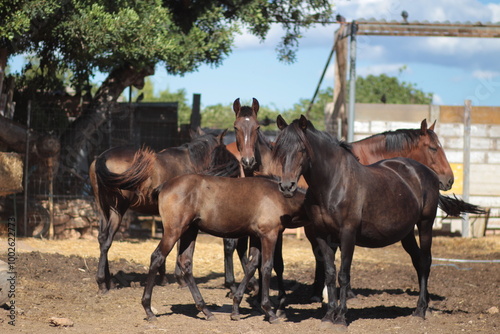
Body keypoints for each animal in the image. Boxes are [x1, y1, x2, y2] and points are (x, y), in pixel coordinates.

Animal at [89, 129, 239, 294]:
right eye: (224, 148)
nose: (237, 165)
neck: (191, 162)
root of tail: (103, 157)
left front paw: (162, 278)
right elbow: (179, 246)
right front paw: (180, 279)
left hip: (103, 209)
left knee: (102, 238)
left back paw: (108, 281)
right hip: (118, 210)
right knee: (107, 240)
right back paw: (102, 283)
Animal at [139, 175, 306, 324]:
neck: (280, 198)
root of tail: (164, 185)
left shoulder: (257, 237)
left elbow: (251, 266)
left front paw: (236, 308)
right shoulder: (269, 235)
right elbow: (267, 267)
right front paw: (270, 312)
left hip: (190, 231)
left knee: (185, 262)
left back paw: (206, 310)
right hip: (174, 231)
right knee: (157, 257)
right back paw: (148, 310)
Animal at [274, 115, 484, 328]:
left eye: (302, 149)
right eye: (279, 148)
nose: (287, 186)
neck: (333, 183)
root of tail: (427, 173)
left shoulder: (347, 234)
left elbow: (343, 274)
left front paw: (341, 318)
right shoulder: (321, 235)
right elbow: (330, 273)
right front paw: (328, 316)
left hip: (425, 224)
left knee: (425, 261)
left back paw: (420, 310)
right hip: (407, 232)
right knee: (418, 261)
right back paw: (423, 307)